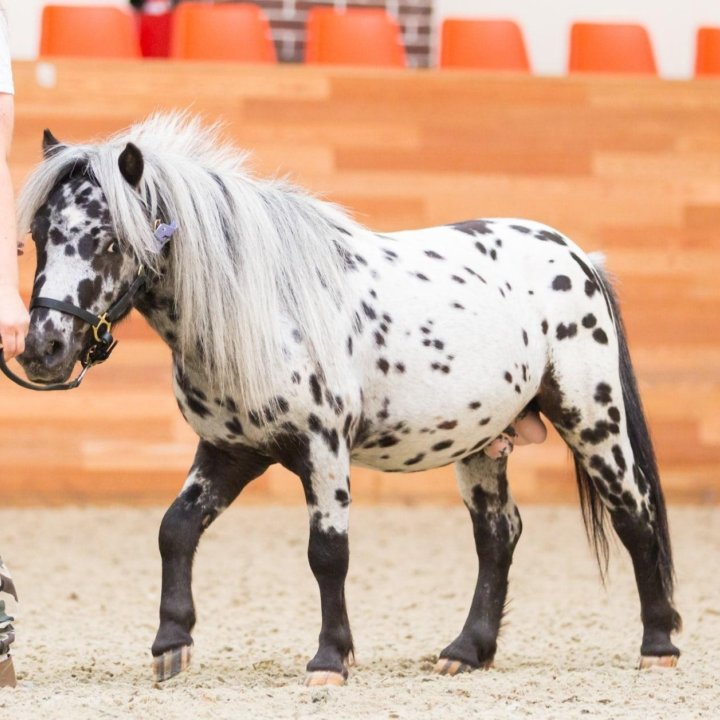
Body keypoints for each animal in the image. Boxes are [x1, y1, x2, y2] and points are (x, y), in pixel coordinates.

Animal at [15, 114, 680, 688]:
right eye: (38, 237)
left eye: (108, 241)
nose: (44, 348)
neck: (266, 309)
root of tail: (577, 257)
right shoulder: (229, 451)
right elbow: (175, 529)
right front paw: (171, 646)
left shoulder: (323, 448)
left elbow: (327, 553)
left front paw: (330, 660)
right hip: (484, 441)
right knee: (499, 533)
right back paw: (467, 651)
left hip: (592, 418)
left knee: (634, 512)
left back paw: (658, 646)